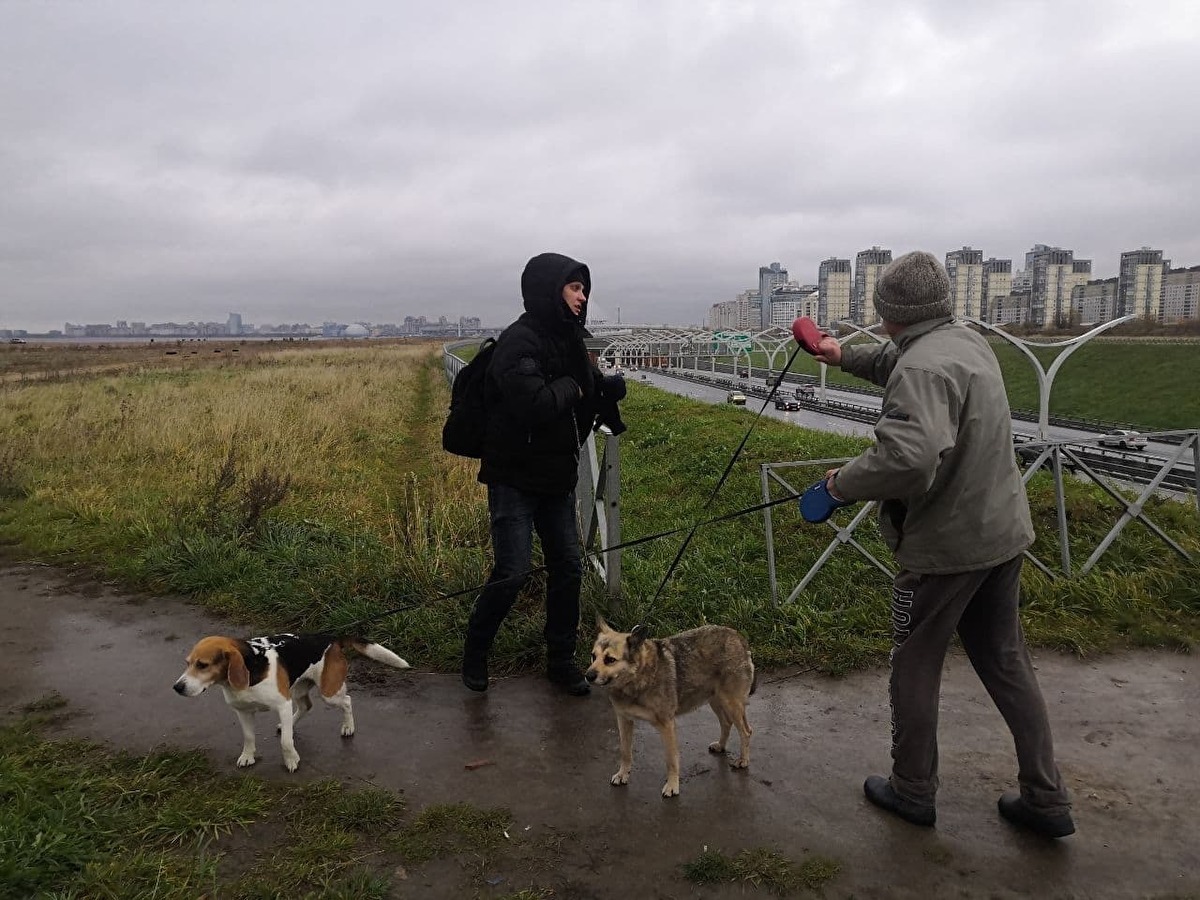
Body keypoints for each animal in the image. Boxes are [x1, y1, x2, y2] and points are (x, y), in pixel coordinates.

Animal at [585, 619, 753, 796]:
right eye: (593, 656)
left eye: (610, 659)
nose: (588, 676)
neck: (639, 676)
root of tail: (737, 636)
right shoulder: (624, 720)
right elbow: (625, 752)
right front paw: (622, 774)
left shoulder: (666, 725)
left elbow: (671, 760)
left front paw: (672, 785)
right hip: (715, 700)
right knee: (726, 723)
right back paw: (721, 745)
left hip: (731, 703)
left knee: (746, 731)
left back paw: (743, 760)